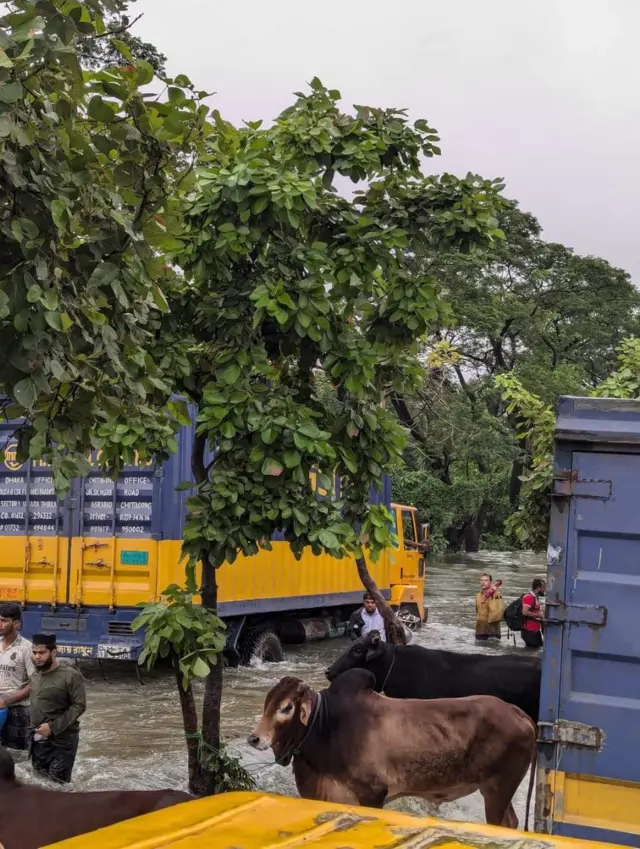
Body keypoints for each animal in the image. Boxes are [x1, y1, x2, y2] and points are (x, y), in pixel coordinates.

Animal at [248, 668, 536, 828]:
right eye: (266, 703)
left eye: (286, 707)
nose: (254, 739)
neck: (326, 726)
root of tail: (517, 712)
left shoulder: (373, 793)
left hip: (497, 788)